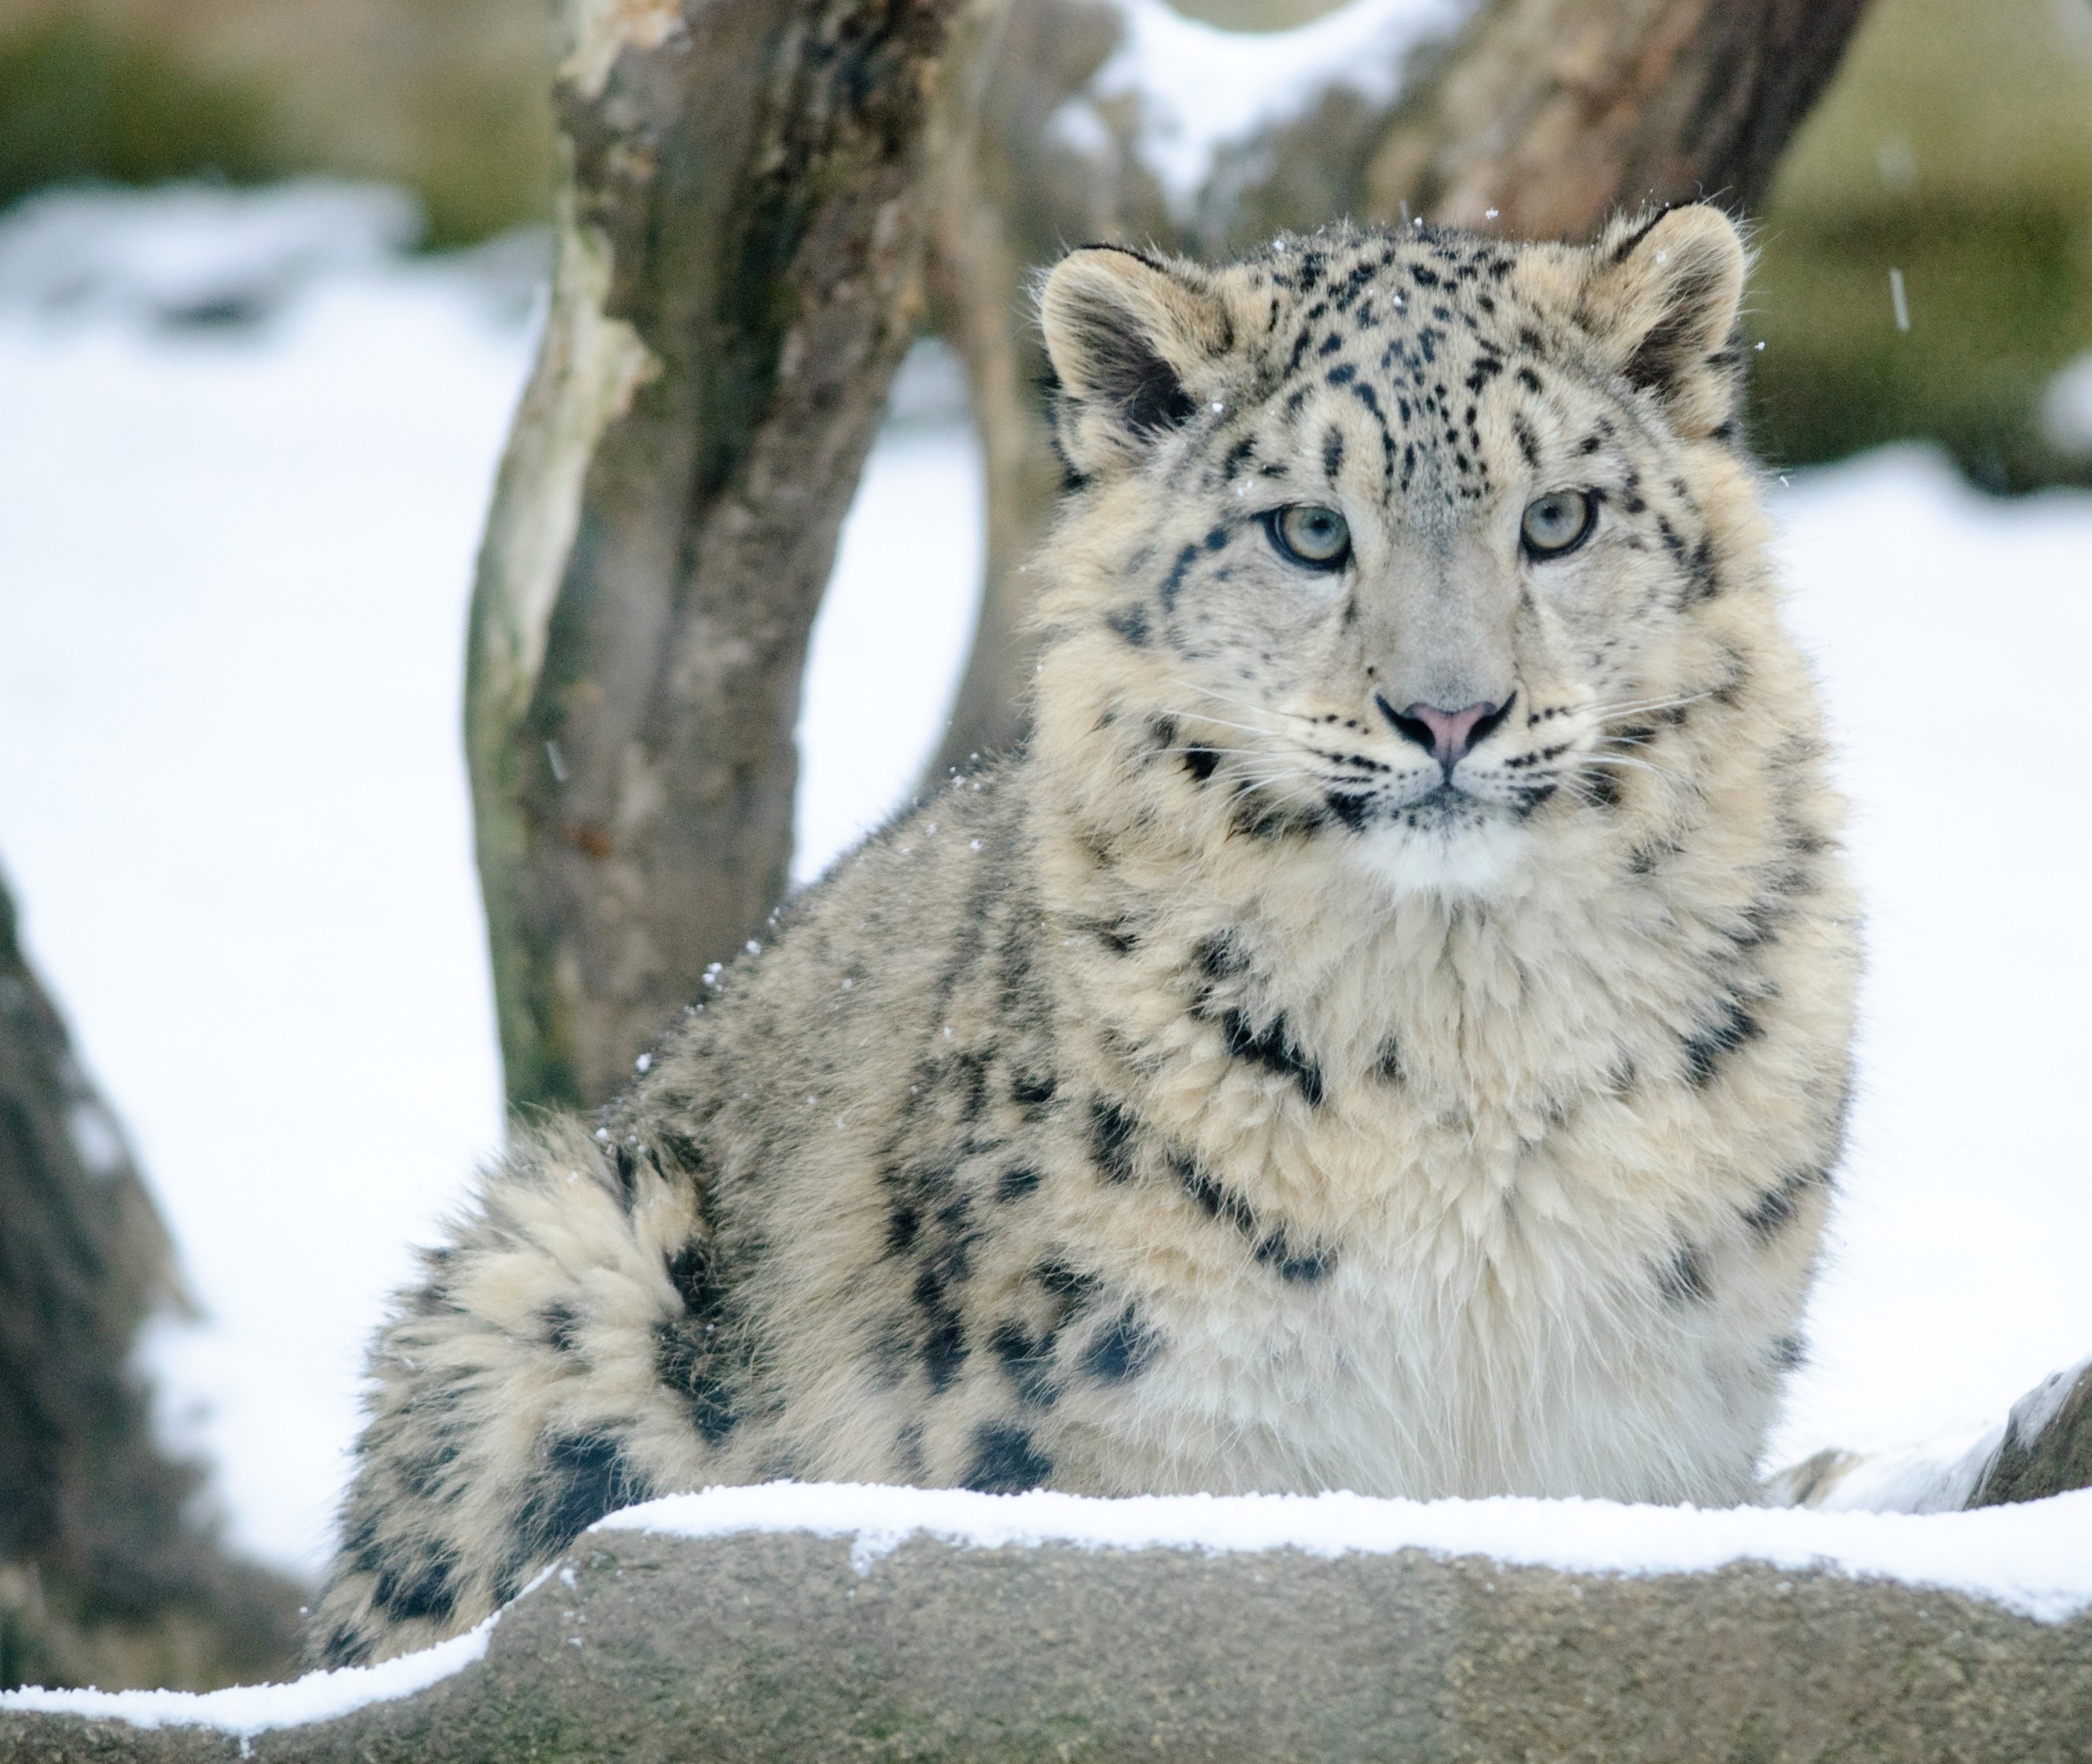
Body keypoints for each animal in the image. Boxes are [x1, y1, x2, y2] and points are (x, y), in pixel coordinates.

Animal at [310, 203, 1859, 1666]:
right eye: (1309, 529)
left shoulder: (1650, 1413)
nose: (1450, 714)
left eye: (1559, 519)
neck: (1465, 1035)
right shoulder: (1138, 1421)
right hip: (551, 1282)